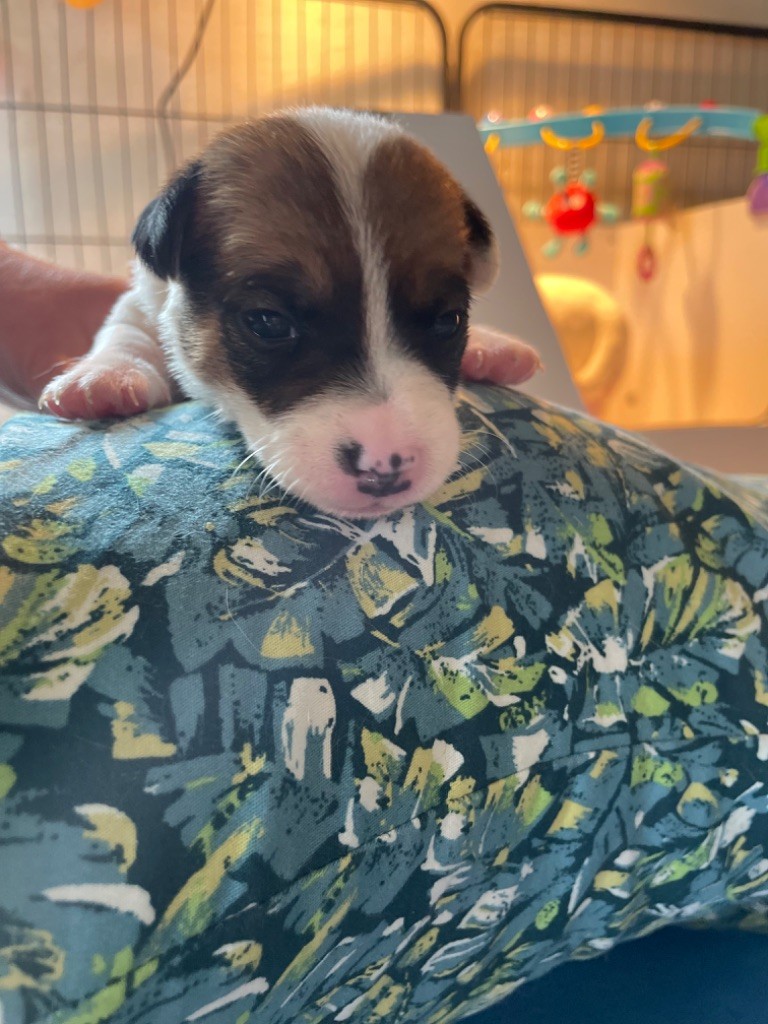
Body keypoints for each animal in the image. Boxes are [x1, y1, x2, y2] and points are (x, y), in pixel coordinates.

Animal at [40, 108, 541, 518]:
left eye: (448, 321)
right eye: (268, 322)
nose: (385, 467)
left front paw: (491, 346)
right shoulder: (144, 300)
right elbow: (128, 330)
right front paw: (105, 377)